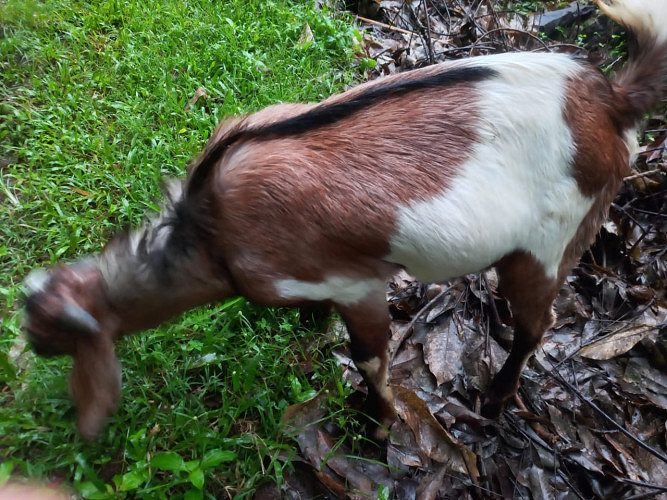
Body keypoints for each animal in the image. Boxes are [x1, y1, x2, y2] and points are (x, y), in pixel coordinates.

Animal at [22, 0, 667, 441]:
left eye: (49, 334)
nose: (26, 345)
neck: (208, 235)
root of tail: (610, 101)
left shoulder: (356, 282)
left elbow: (370, 359)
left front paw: (378, 425)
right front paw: (310, 324)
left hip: (550, 240)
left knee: (539, 321)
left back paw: (497, 397)